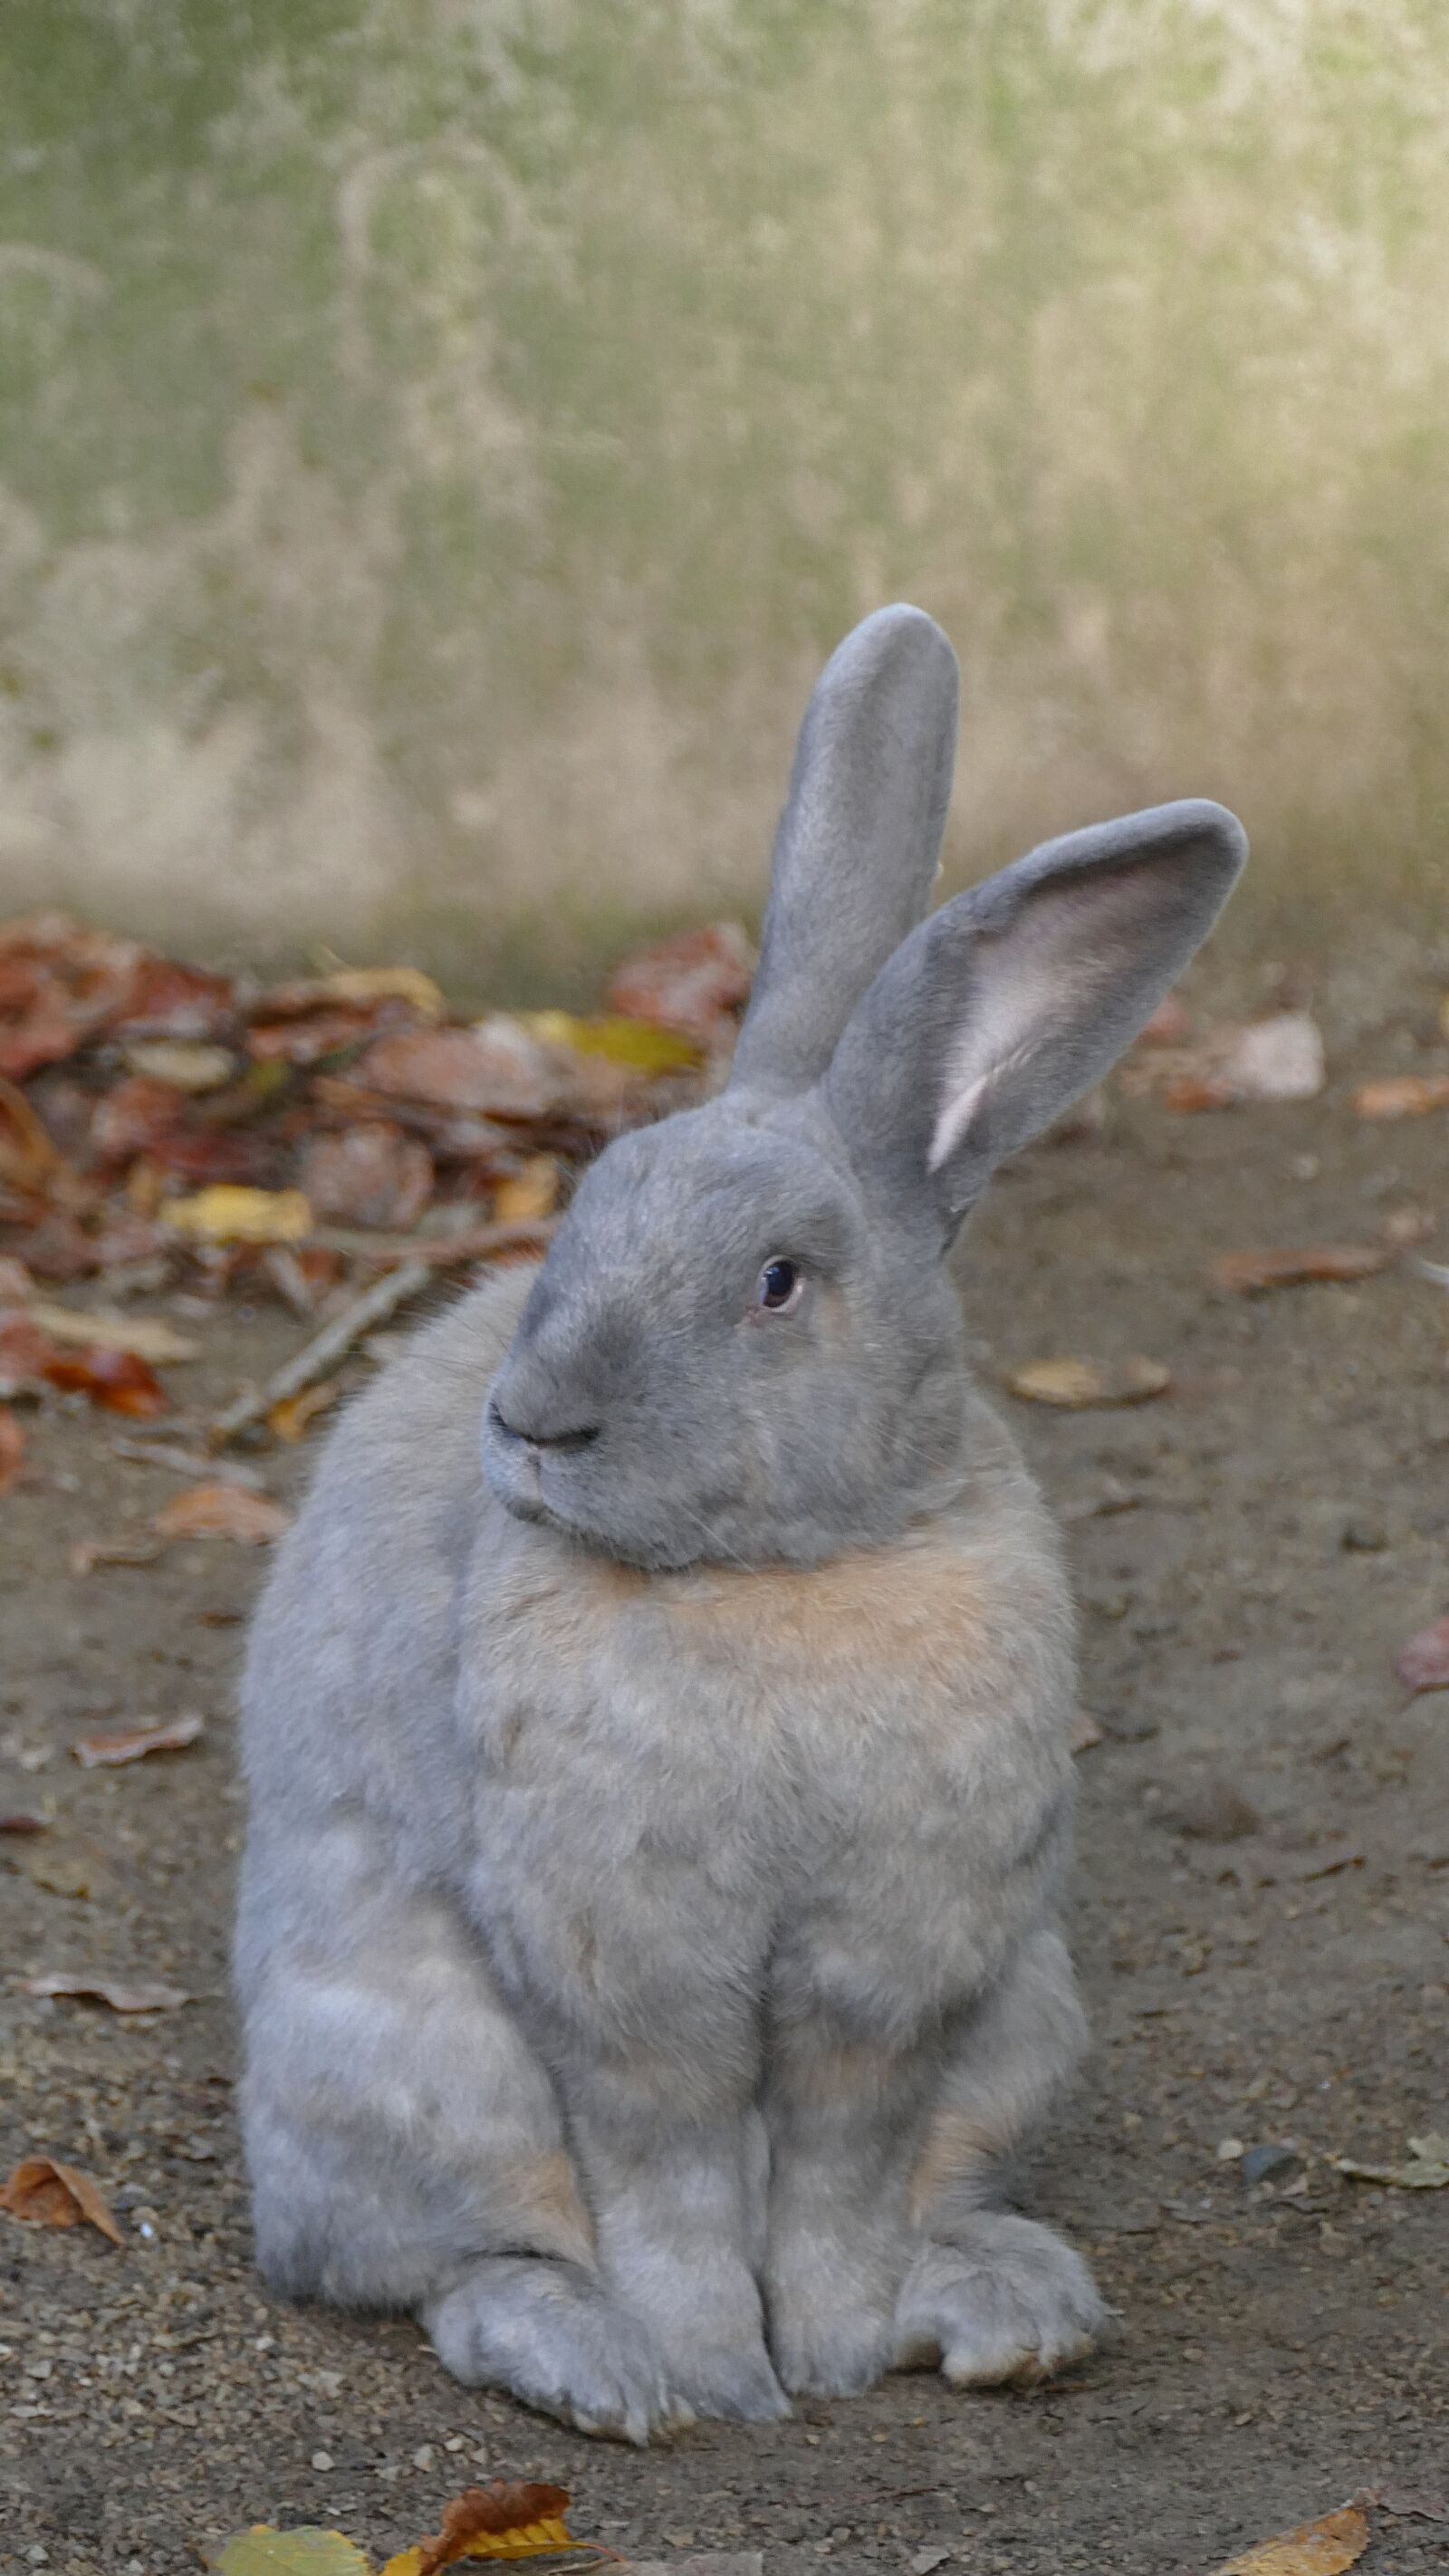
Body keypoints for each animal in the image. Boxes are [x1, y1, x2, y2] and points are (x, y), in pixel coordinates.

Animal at [236, 603, 1245, 2443]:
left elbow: (840, 2165)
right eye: (584, 1199)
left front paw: (834, 2355)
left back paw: (1007, 2309)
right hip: (418, 2071)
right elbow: (671, 2173)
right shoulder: (630, 1984)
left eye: (778, 1282)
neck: (783, 1576)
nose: (533, 1420)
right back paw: (594, 2366)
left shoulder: (894, 1973)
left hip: (1024, 2028)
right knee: (453, 2266)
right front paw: (712, 2378)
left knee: (939, 2194)